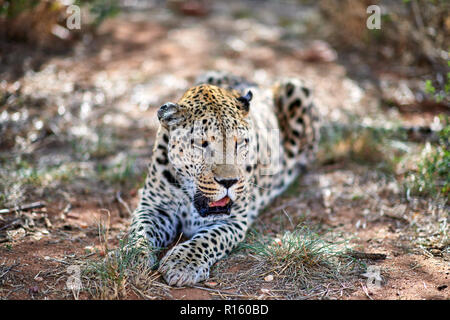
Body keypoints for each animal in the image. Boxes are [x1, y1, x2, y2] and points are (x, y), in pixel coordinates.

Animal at [127, 71, 320, 286]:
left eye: (240, 142)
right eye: (201, 143)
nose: (229, 182)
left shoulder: (233, 220)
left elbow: (207, 239)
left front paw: (183, 263)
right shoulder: (154, 206)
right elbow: (140, 230)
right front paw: (133, 256)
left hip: (296, 87)